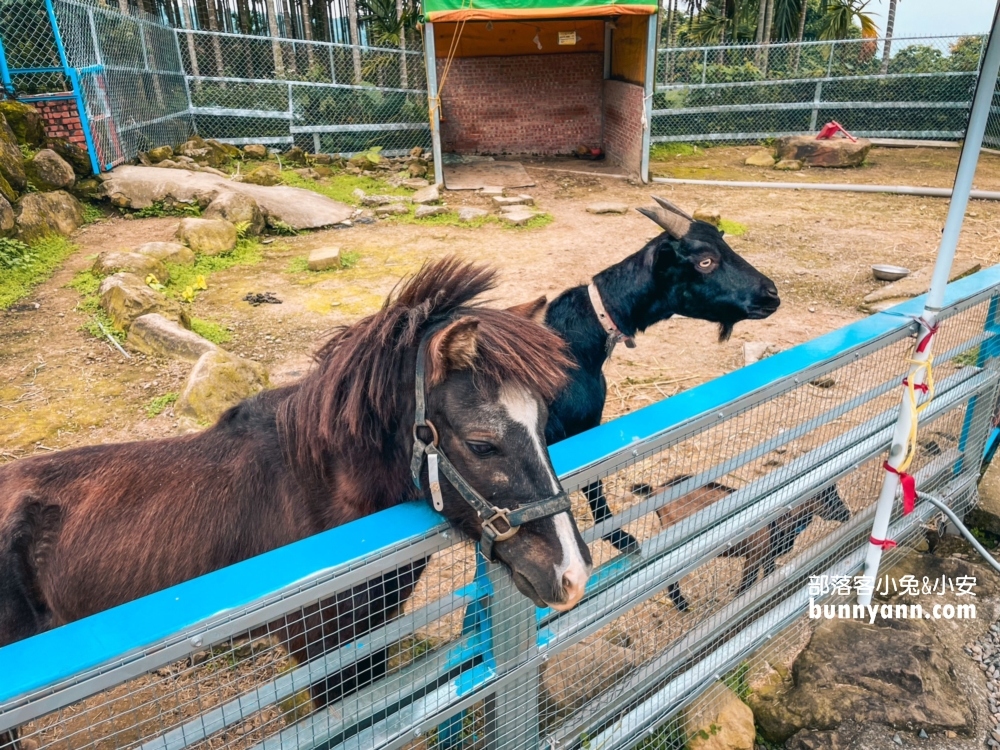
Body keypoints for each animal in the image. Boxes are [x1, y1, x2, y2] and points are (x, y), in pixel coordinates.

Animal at [520, 197, 784, 556]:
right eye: (705, 261)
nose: (771, 294)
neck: (573, 341)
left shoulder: (587, 426)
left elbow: (593, 484)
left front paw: (619, 538)